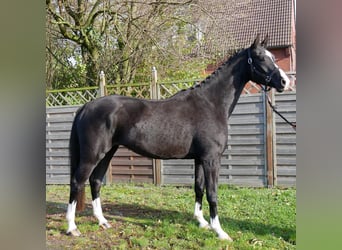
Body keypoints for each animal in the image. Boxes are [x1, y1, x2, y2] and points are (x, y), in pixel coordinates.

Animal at [66, 35, 288, 240]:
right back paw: (72, 227)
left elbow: (198, 188)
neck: (211, 104)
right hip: (92, 155)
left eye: (272, 56)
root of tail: (86, 106)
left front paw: (201, 222)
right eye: (260, 57)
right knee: (77, 182)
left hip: (107, 152)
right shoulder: (211, 159)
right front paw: (219, 231)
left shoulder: (199, 159)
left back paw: (102, 221)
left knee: (95, 181)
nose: (285, 81)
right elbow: (212, 193)